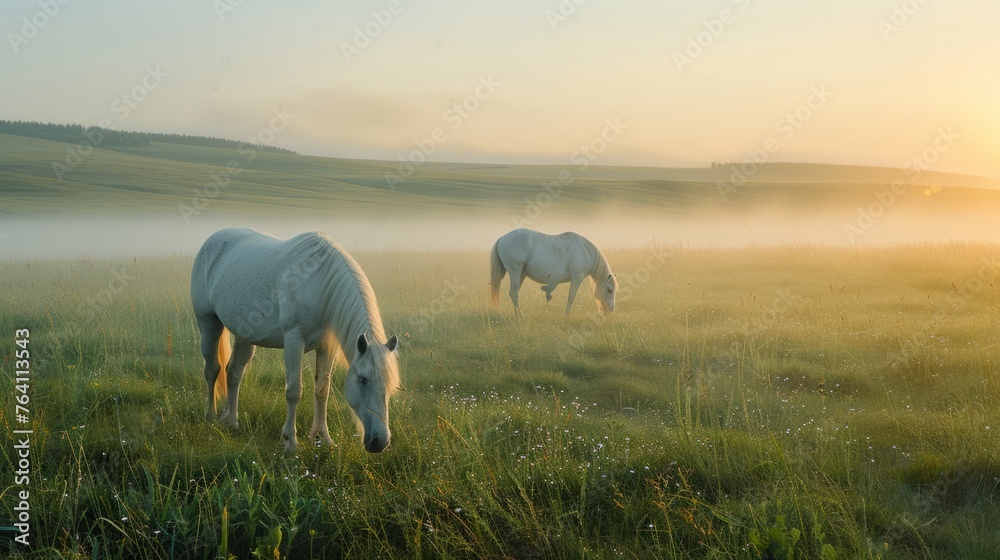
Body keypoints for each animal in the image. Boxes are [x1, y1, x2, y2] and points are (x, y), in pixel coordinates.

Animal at [191, 228, 400, 453]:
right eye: (362, 379)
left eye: (389, 384)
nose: (379, 442)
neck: (320, 284)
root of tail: (213, 239)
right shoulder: (293, 340)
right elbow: (293, 391)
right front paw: (290, 441)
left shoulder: (326, 347)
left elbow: (322, 390)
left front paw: (322, 437)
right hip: (208, 324)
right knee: (212, 369)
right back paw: (211, 416)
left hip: (244, 335)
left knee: (234, 372)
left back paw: (231, 420)